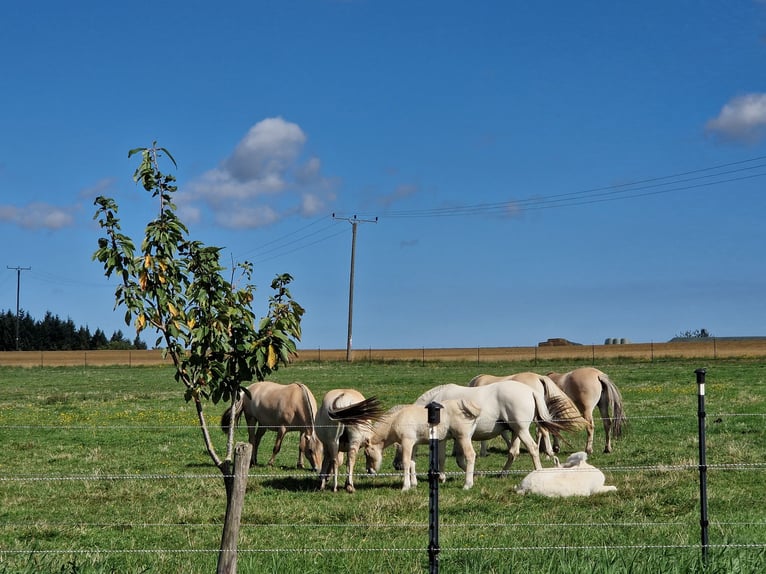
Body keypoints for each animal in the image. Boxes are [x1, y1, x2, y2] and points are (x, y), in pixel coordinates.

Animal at [416, 382, 584, 472]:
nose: (400, 466)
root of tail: (531, 391)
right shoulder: (459, 436)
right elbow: (459, 458)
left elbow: (445, 458)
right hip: (516, 431)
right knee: (513, 452)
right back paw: (502, 473)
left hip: (521, 430)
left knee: (533, 448)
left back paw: (538, 471)